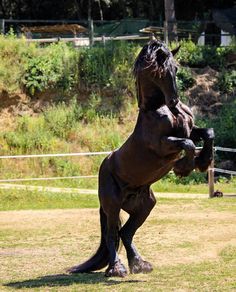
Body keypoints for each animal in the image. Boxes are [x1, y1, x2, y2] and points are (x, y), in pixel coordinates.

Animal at [68, 40, 214, 278]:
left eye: (176, 69)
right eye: (159, 72)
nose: (174, 101)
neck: (159, 110)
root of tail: (104, 167)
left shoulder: (190, 130)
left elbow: (208, 133)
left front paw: (203, 162)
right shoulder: (163, 145)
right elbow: (188, 144)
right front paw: (184, 168)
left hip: (144, 205)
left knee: (126, 233)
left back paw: (139, 264)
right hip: (112, 205)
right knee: (112, 234)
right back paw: (117, 269)